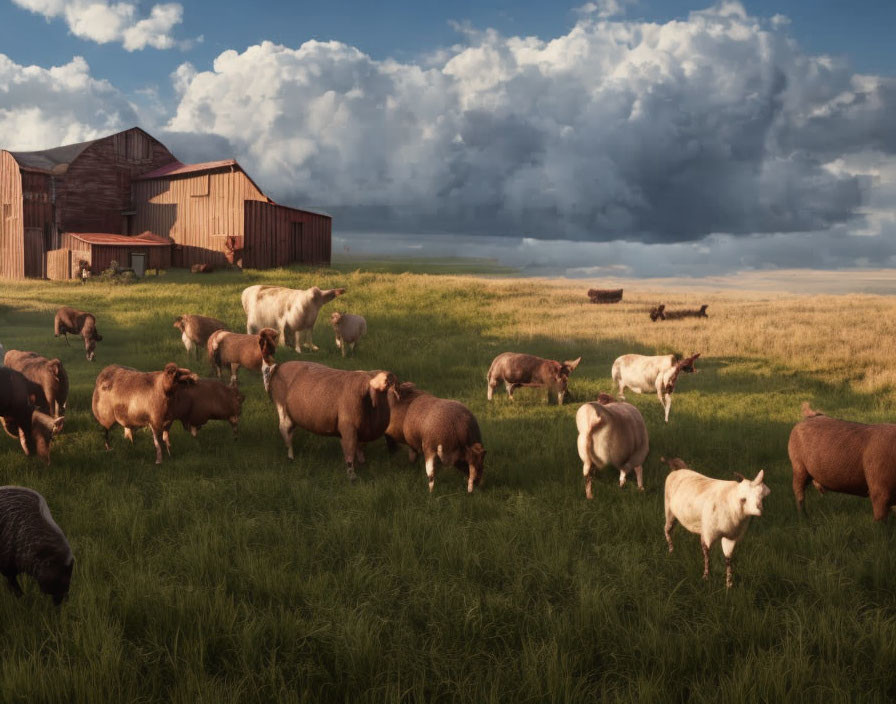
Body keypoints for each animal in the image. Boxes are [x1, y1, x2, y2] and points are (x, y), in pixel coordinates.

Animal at [260, 360, 398, 482]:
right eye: (386, 384)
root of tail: (279, 366)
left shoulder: (360, 431)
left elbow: (359, 447)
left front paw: (362, 462)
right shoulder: (348, 429)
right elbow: (349, 452)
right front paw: (352, 476)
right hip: (283, 411)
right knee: (285, 431)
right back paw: (290, 456)